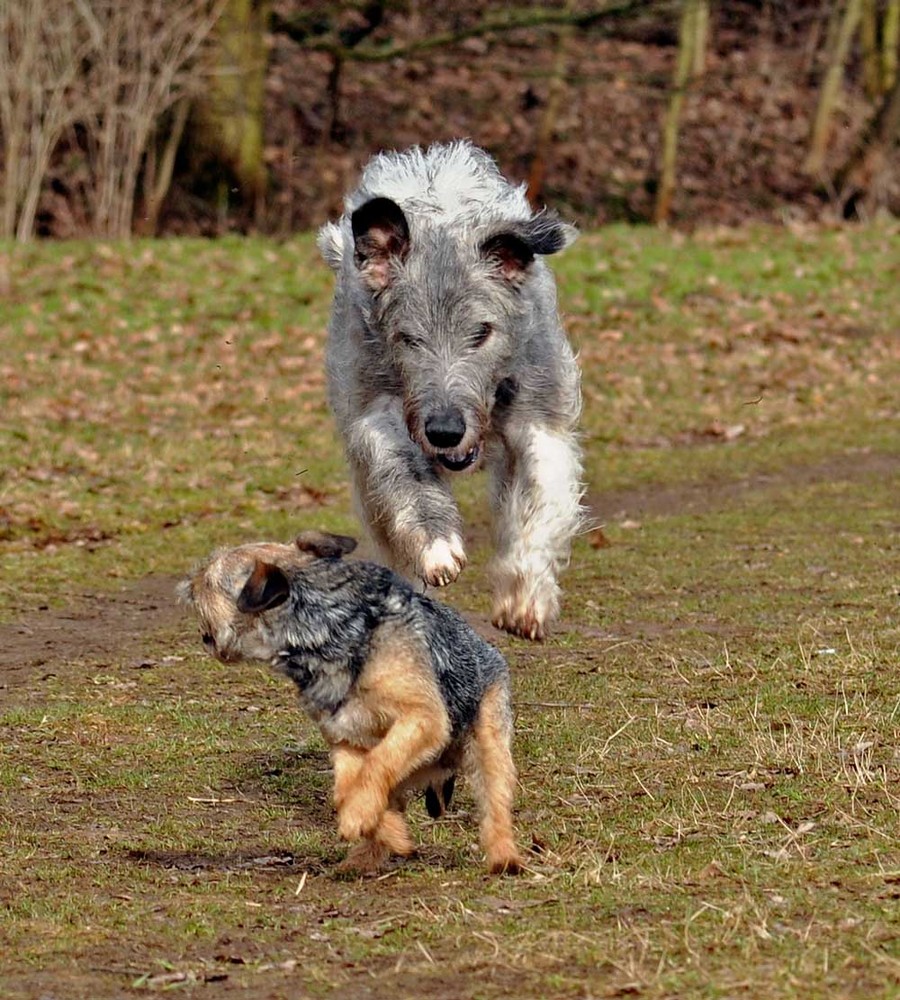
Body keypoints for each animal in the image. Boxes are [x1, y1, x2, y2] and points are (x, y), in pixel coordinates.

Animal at [178, 532, 520, 876]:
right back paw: (365, 856)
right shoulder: (345, 737)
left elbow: (379, 763)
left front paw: (360, 817)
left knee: (495, 805)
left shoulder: (423, 717)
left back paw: (505, 858)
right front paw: (378, 826)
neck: (328, 632)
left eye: (209, 579)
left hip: (487, 745)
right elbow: (346, 789)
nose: (187, 584)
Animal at [316, 139, 584, 640]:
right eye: (408, 338)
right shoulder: (377, 417)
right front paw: (437, 547)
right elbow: (407, 477)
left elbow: (538, 501)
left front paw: (525, 596)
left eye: (482, 332)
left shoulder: (539, 419)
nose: (444, 431)